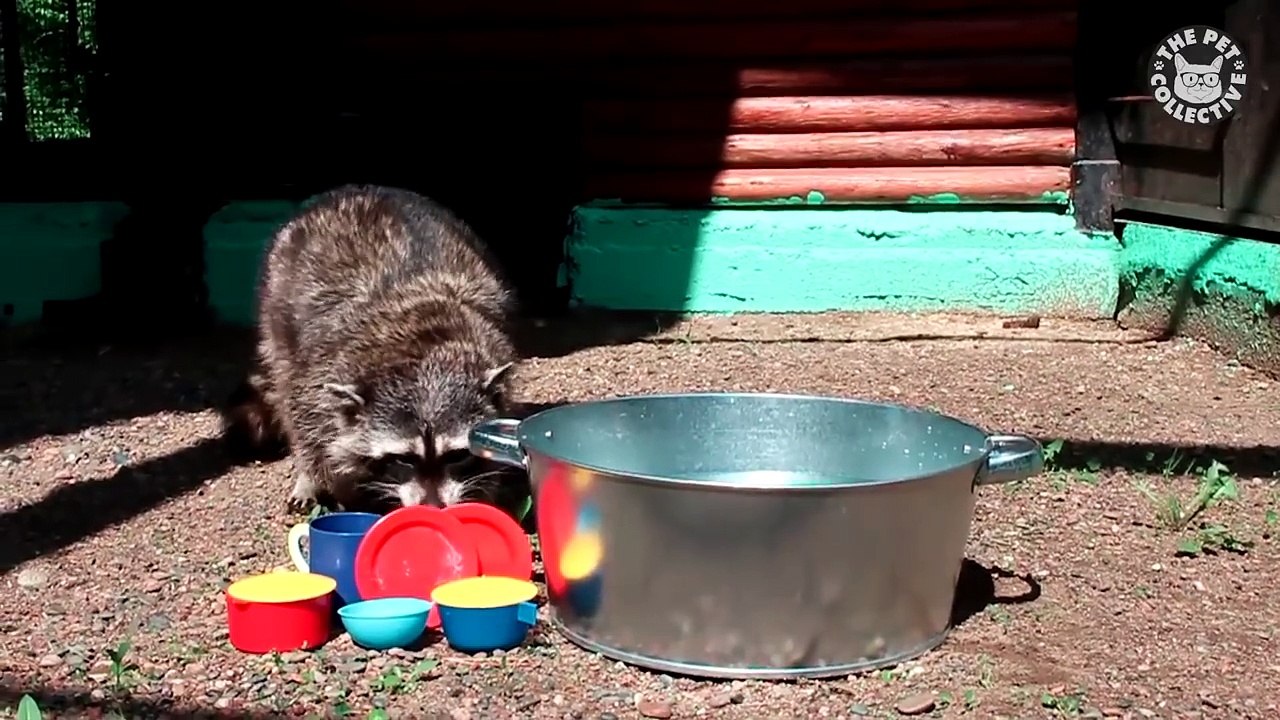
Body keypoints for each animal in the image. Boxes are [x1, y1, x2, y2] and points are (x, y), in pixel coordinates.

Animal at [222, 185, 519, 513]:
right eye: (404, 459)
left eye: (456, 455)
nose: (432, 508)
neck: (422, 348)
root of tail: (357, 190)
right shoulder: (320, 374)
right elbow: (313, 429)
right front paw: (325, 481)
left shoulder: (495, 347)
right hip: (276, 299)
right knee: (286, 387)